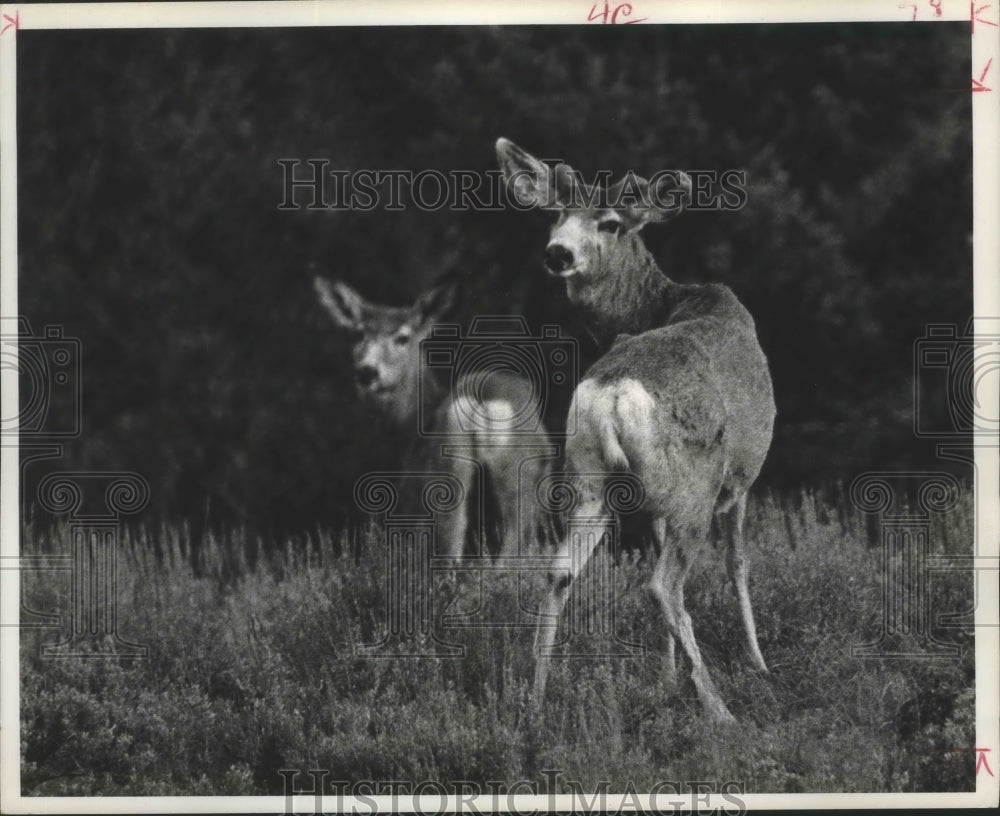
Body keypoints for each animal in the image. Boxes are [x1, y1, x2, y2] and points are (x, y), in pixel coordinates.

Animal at [312, 278, 552, 556]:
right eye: (358, 333)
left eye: (403, 337)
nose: (367, 372)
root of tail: (485, 404)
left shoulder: (412, 496)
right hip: (522, 477)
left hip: (446, 480)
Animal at [498, 139, 772, 720]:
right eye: (556, 214)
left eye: (610, 223)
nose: (558, 253)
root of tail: (612, 392)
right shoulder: (741, 478)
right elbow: (738, 563)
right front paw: (759, 663)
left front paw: (664, 674)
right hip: (695, 483)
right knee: (664, 585)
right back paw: (718, 707)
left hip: (589, 477)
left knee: (559, 571)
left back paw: (535, 700)